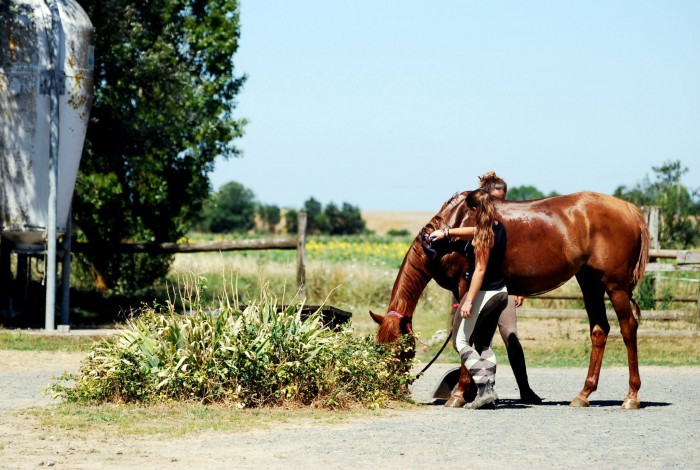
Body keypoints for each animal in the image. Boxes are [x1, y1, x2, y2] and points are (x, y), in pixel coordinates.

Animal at [372, 191, 652, 408]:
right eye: (379, 347)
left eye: (400, 351)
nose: (390, 388)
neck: (454, 226)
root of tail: (629, 209)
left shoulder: (466, 287)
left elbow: (465, 337)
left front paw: (459, 394)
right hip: (589, 281)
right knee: (599, 330)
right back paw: (583, 395)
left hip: (614, 286)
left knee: (628, 329)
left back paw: (631, 397)